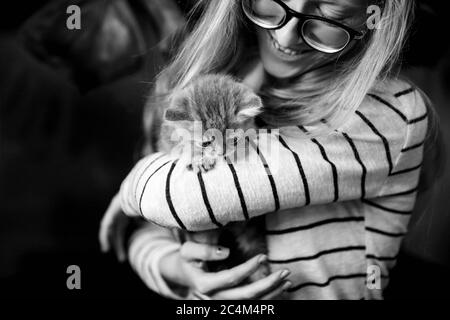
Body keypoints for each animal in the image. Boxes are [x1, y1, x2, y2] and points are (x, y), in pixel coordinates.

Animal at [156, 74, 268, 282]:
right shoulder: (166, 140)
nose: (223, 152)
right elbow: (183, 146)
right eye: (206, 142)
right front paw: (198, 158)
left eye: (233, 140)